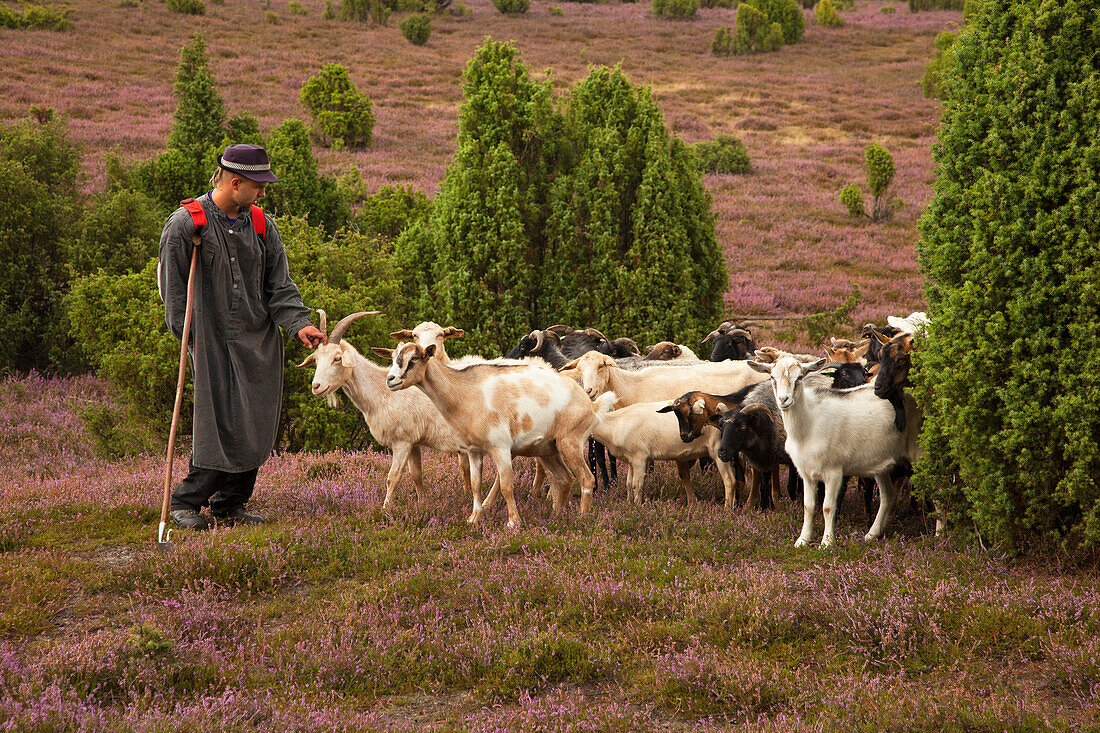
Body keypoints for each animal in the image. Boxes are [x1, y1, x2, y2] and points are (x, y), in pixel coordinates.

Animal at [299, 308, 475, 508]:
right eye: (315, 359)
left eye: (337, 358)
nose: (316, 386)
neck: (382, 392)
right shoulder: (413, 442)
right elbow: (416, 475)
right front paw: (422, 505)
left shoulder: (402, 441)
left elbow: (393, 477)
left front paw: (385, 509)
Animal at [380, 341, 602, 526]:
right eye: (394, 357)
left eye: (414, 359)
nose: (390, 380)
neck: (467, 394)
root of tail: (588, 403)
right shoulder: (473, 450)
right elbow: (475, 484)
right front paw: (474, 518)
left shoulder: (500, 447)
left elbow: (506, 485)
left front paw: (513, 523)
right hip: (547, 449)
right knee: (565, 479)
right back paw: (556, 516)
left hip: (570, 441)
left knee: (587, 479)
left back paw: (583, 518)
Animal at [752, 352, 924, 545]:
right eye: (772, 377)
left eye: (799, 378)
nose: (783, 400)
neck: (810, 422)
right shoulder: (806, 473)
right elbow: (808, 506)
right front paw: (802, 540)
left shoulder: (833, 472)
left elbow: (828, 507)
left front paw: (827, 542)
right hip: (881, 463)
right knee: (888, 496)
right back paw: (872, 534)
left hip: (919, 452)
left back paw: (938, 532)